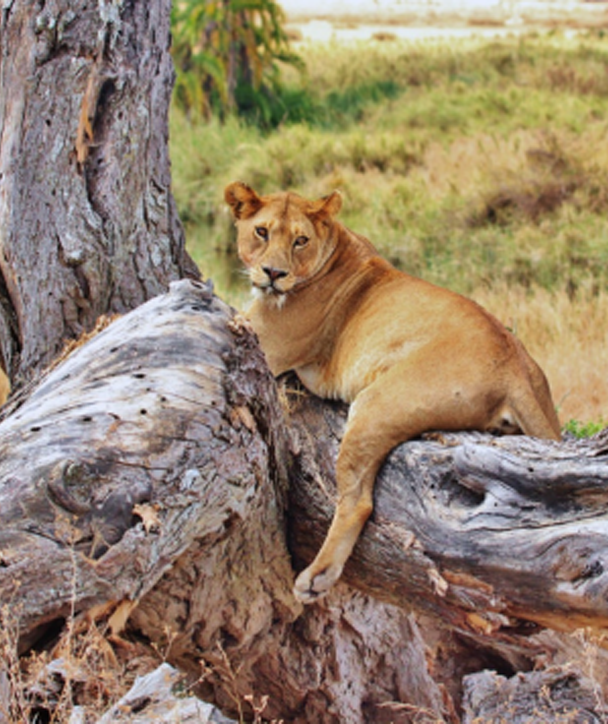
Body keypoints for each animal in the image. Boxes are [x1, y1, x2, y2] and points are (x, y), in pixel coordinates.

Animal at [224, 181, 561, 604]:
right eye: (262, 232)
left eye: (300, 240)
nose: (273, 273)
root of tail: (513, 363)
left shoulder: (264, 344)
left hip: (375, 403)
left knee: (358, 502)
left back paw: (317, 578)